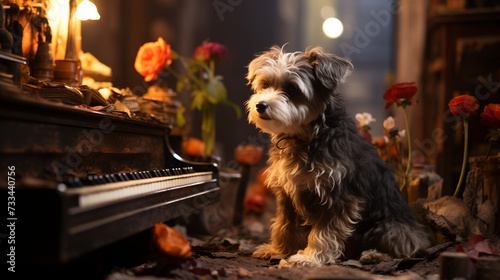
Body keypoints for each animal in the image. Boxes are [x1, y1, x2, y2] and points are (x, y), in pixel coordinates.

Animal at [246, 46, 430, 266]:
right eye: (265, 85)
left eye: (292, 89)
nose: (261, 105)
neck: (309, 136)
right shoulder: (287, 193)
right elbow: (284, 225)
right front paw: (278, 250)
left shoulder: (338, 196)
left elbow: (323, 233)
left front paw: (309, 258)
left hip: (389, 227)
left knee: (405, 247)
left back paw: (375, 255)